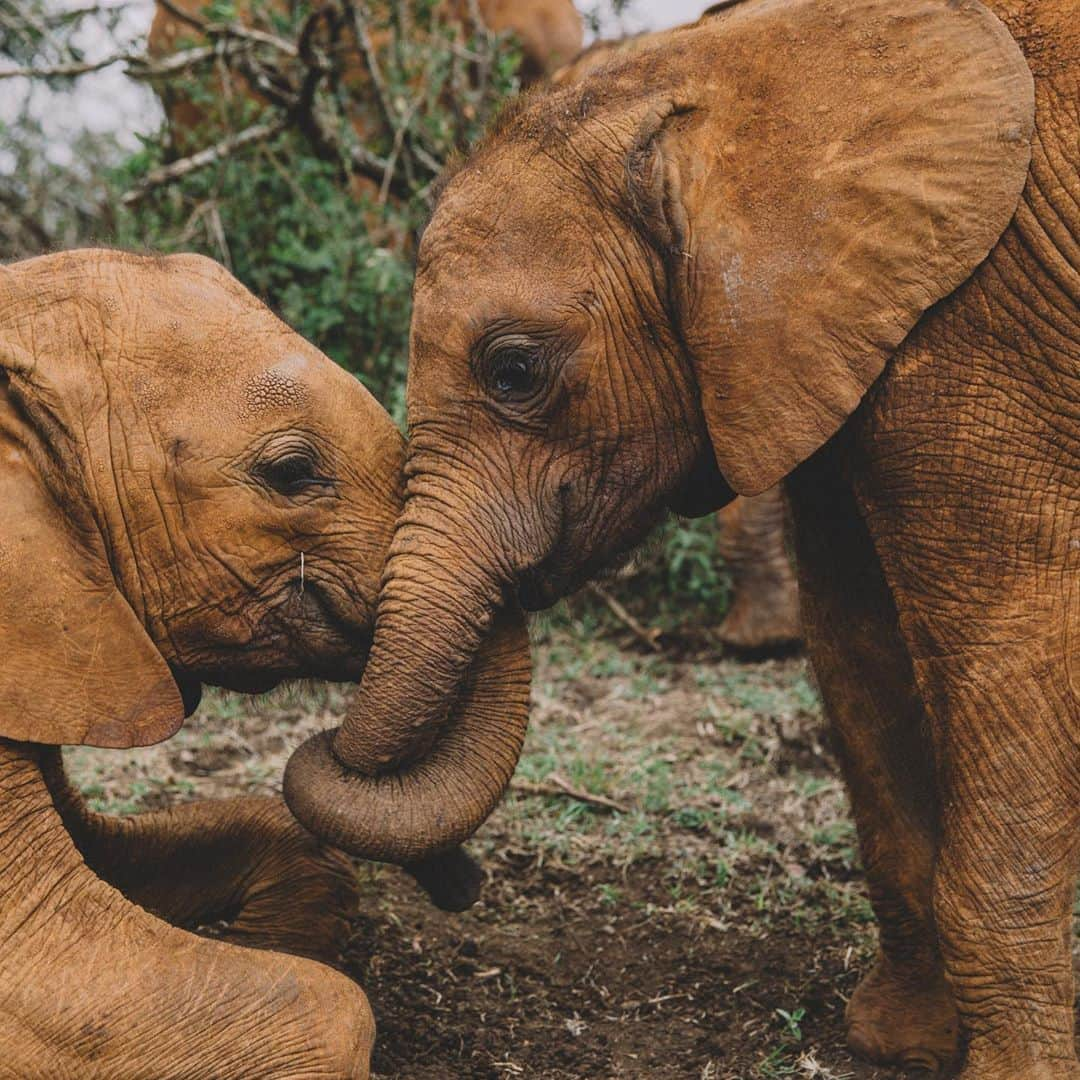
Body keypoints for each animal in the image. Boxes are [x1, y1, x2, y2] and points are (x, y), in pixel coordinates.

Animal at [280, 4, 1080, 1075]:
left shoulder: (977, 312)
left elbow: (1011, 639)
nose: (463, 884)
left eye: (514, 370)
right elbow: (857, 637)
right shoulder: (815, 343)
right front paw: (900, 1044)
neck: (711, 72)